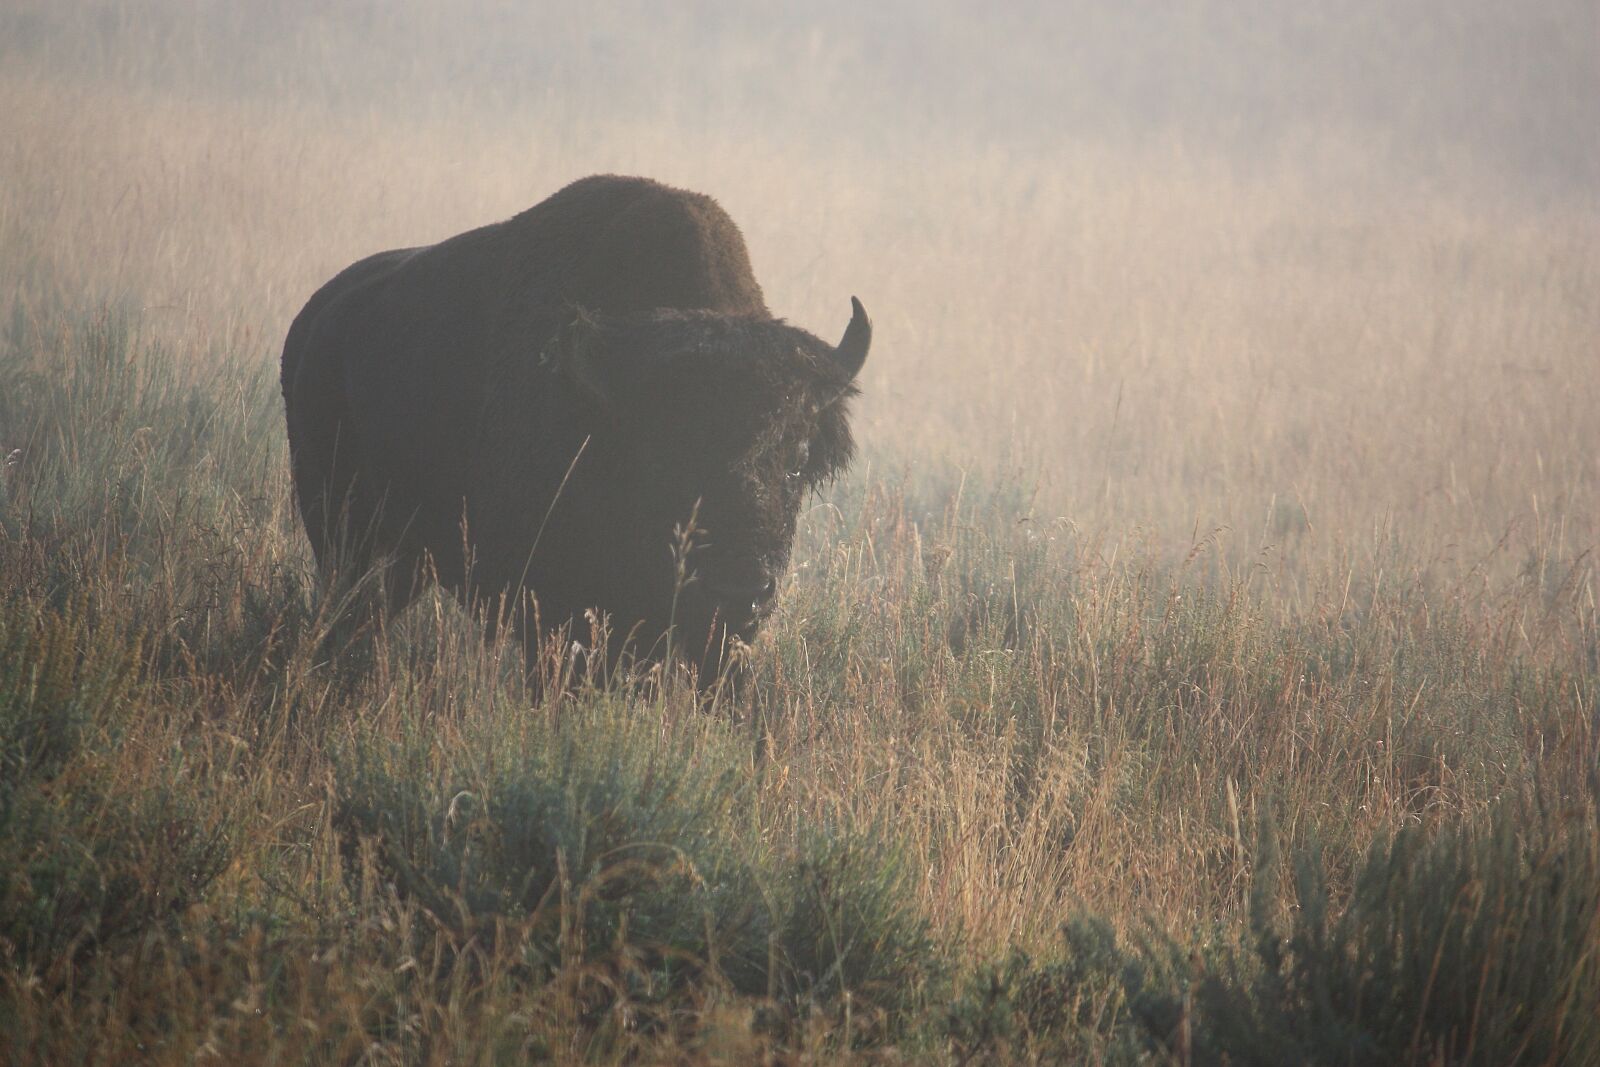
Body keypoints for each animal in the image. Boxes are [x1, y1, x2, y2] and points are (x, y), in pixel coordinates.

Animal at [281, 174, 870, 681]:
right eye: (665, 456)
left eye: (798, 457)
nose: (738, 588)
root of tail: (314, 320)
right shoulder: (551, 616)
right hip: (341, 536)